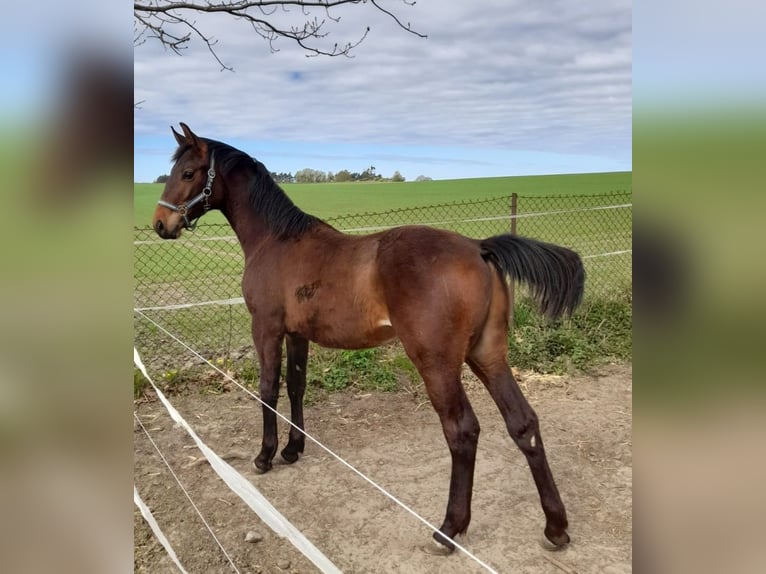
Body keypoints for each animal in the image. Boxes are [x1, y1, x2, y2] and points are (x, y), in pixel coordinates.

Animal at [153, 123, 584, 551]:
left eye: (188, 173)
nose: (160, 224)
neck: (277, 241)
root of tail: (479, 248)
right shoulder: (297, 334)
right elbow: (295, 386)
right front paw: (293, 449)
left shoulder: (267, 328)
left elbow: (268, 389)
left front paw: (265, 455)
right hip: (488, 355)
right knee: (523, 423)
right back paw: (555, 527)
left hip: (438, 363)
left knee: (462, 431)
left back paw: (449, 528)